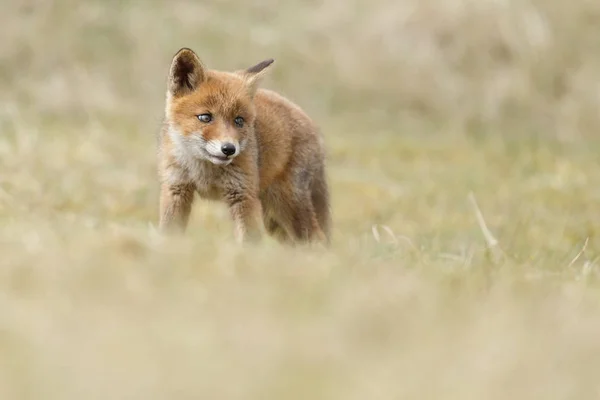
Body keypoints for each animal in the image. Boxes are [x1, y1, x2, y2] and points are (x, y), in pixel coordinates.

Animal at [157, 48, 330, 245]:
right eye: (205, 117)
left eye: (238, 120)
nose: (229, 149)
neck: (205, 171)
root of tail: (307, 118)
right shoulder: (176, 189)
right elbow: (169, 234)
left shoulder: (243, 195)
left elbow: (248, 241)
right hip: (273, 219)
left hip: (288, 204)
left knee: (317, 238)